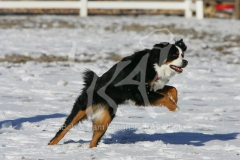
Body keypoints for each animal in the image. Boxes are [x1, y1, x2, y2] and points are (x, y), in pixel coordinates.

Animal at [48, 38, 188, 148]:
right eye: (174, 55)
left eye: (182, 54)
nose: (186, 62)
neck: (154, 64)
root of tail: (90, 85)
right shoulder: (140, 93)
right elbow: (164, 97)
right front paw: (174, 107)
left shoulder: (153, 87)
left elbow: (173, 89)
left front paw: (175, 100)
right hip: (81, 109)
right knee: (62, 131)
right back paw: (50, 146)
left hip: (105, 118)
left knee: (94, 139)